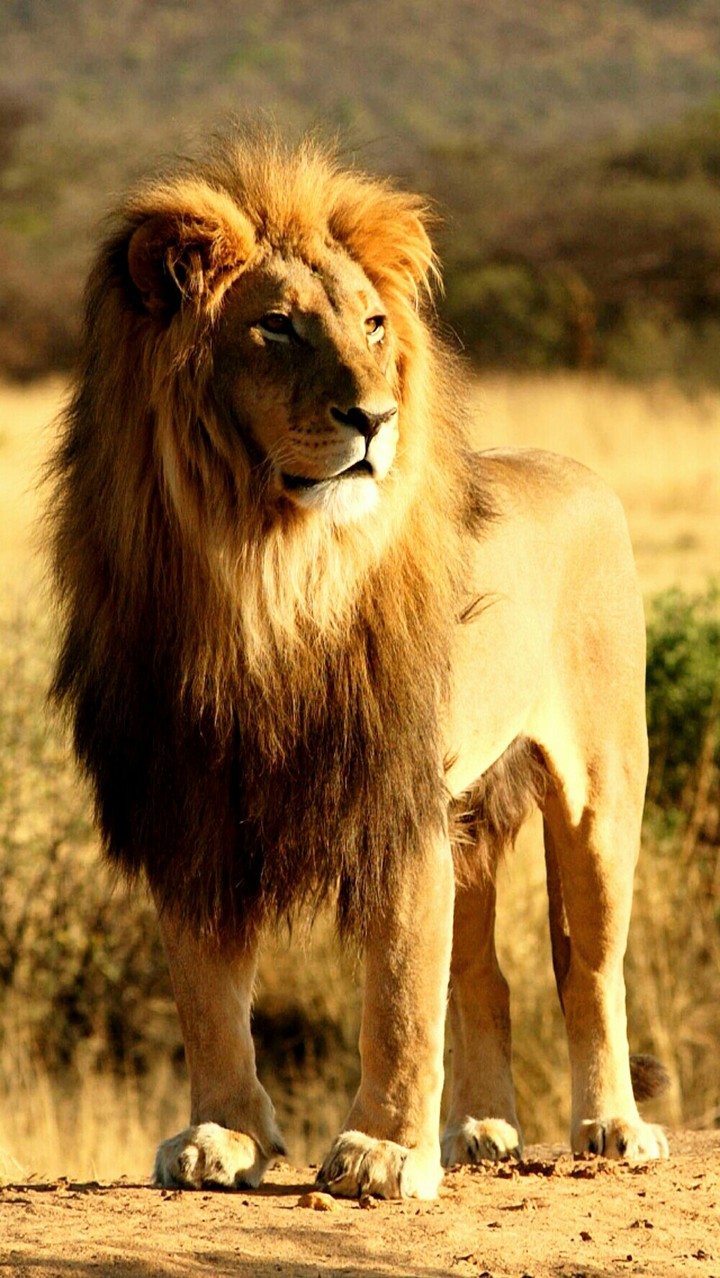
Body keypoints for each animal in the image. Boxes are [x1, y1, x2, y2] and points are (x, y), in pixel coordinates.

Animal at [47, 131, 668, 1200]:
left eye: (375, 324)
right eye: (277, 327)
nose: (375, 418)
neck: (264, 571)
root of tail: (576, 469)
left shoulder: (394, 792)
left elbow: (400, 990)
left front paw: (382, 1151)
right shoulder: (191, 798)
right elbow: (208, 992)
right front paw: (223, 1136)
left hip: (600, 789)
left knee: (588, 968)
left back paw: (613, 1127)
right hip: (472, 814)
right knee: (487, 975)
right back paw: (479, 1131)